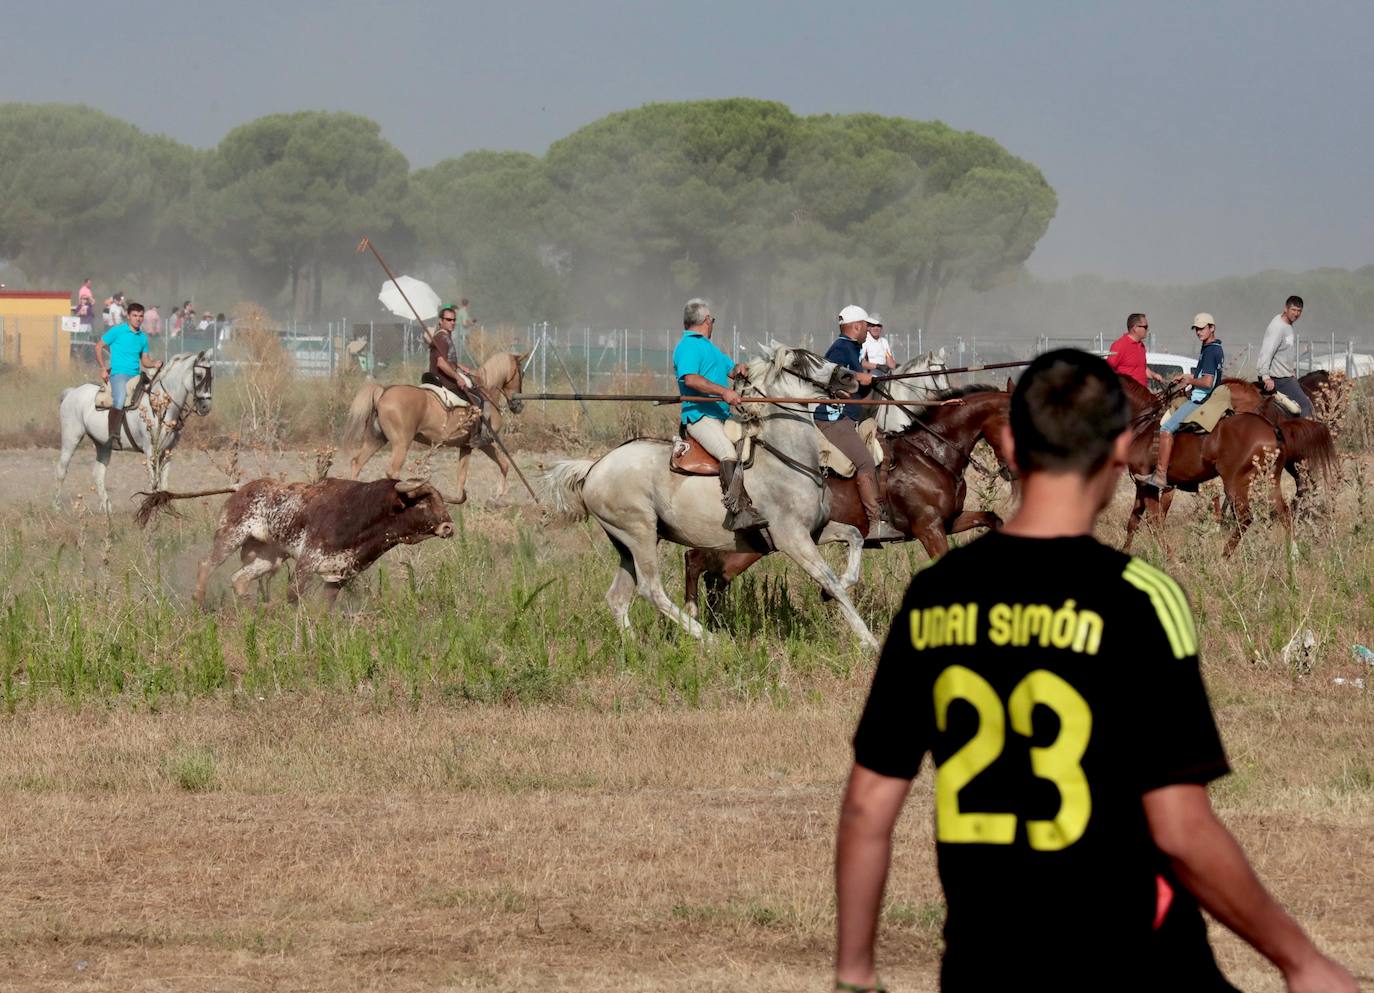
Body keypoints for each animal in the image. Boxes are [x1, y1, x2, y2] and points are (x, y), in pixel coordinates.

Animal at [55, 351, 214, 513]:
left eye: (211, 377)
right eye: (198, 376)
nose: (205, 407)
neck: (160, 406)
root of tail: (71, 392)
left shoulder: (168, 452)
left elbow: (163, 484)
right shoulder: (150, 452)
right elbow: (153, 483)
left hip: (103, 445)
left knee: (98, 473)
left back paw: (107, 508)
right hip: (71, 438)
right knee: (62, 469)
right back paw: (56, 506)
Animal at [342, 351, 524, 505]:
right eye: (521, 373)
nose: (518, 406)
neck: (487, 393)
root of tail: (383, 392)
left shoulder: (466, 446)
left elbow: (462, 477)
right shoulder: (484, 443)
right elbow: (504, 463)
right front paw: (498, 494)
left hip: (376, 440)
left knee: (357, 463)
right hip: (401, 443)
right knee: (392, 472)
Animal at [546, 341, 879, 653]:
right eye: (798, 363)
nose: (849, 377)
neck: (787, 458)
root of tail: (594, 467)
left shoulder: (817, 530)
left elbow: (853, 539)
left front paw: (839, 593)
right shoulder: (793, 539)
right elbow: (831, 581)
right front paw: (868, 640)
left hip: (627, 543)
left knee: (617, 597)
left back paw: (635, 647)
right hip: (639, 533)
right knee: (651, 589)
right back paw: (709, 639)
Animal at [684, 387, 1016, 620]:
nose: (1011, 471)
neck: (930, 453)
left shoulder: (948, 521)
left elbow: (992, 518)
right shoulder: (929, 528)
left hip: (757, 543)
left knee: (714, 574)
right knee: (699, 562)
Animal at [1115, 376, 1286, 554]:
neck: (1143, 425)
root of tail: (1270, 430)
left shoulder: (1147, 485)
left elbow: (1154, 521)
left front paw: (1170, 557)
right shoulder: (1144, 485)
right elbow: (1134, 521)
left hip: (1235, 483)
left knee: (1245, 517)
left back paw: (1224, 555)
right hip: (1272, 480)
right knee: (1283, 513)